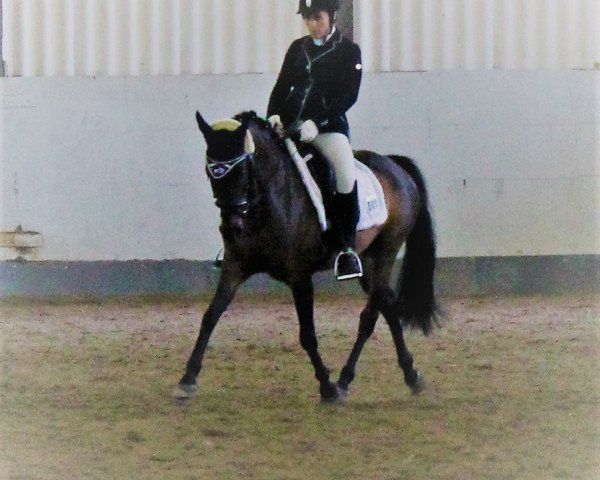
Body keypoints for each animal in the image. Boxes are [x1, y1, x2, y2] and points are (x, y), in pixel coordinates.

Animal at [176, 111, 438, 402]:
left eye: (242, 170)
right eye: (210, 172)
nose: (231, 228)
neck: (267, 205)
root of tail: (395, 166)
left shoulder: (299, 277)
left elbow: (308, 335)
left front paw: (327, 387)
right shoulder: (235, 267)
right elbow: (210, 316)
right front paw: (188, 378)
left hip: (385, 253)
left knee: (369, 316)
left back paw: (344, 380)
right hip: (367, 260)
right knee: (388, 306)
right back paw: (410, 376)